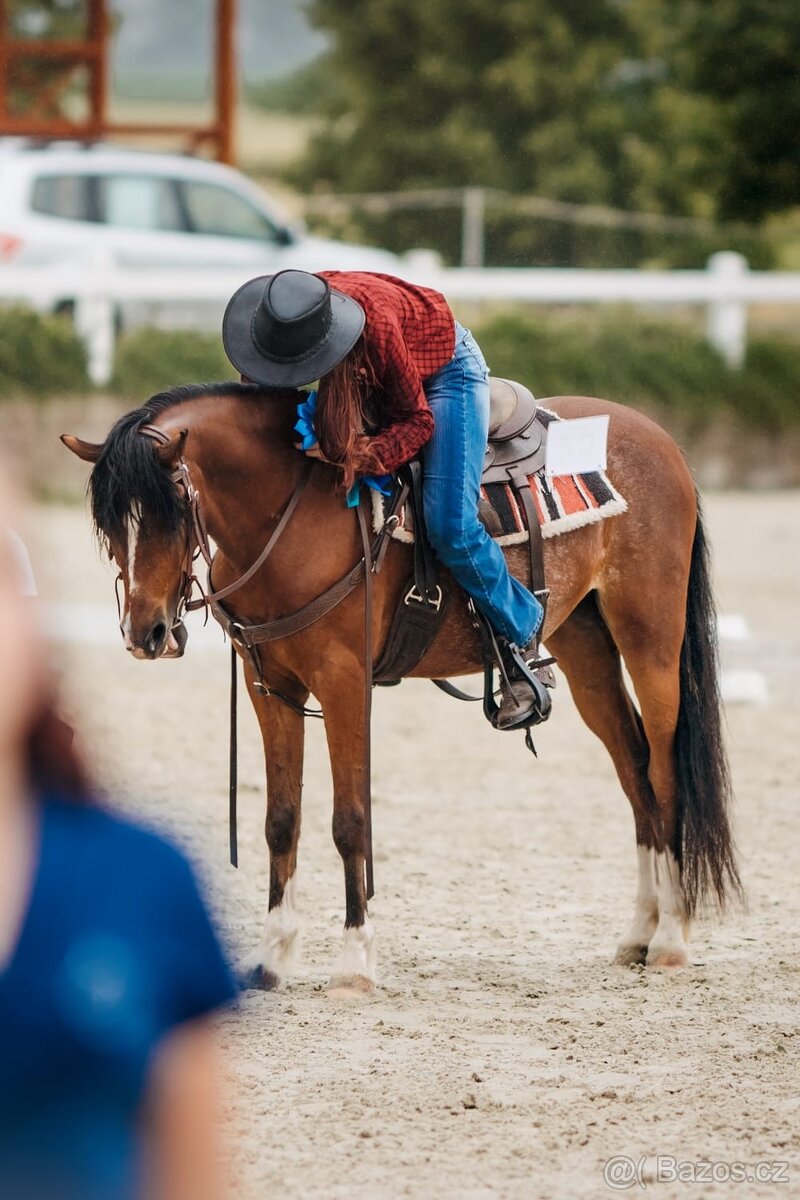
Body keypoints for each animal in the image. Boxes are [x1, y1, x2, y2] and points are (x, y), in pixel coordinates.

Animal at [63, 381, 741, 994]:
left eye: (171, 509)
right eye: (108, 526)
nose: (145, 633)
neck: (287, 514)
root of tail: (659, 439)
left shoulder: (342, 683)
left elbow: (349, 819)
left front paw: (354, 964)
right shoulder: (270, 688)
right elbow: (281, 818)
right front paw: (271, 958)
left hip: (651, 640)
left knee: (664, 773)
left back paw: (671, 938)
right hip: (586, 647)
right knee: (634, 773)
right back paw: (638, 934)